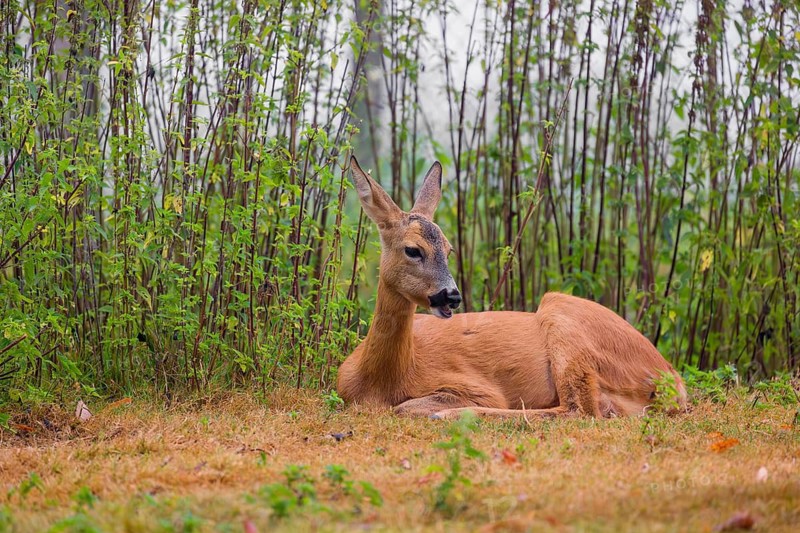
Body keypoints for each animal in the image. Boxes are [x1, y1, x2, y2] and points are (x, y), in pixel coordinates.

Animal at [337, 156, 688, 420]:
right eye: (413, 250)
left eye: (449, 250)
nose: (452, 295)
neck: (382, 380)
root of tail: (672, 379)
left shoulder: (477, 388)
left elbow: (405, 407)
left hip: (562, 317)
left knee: (580, 409)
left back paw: (451, 415)